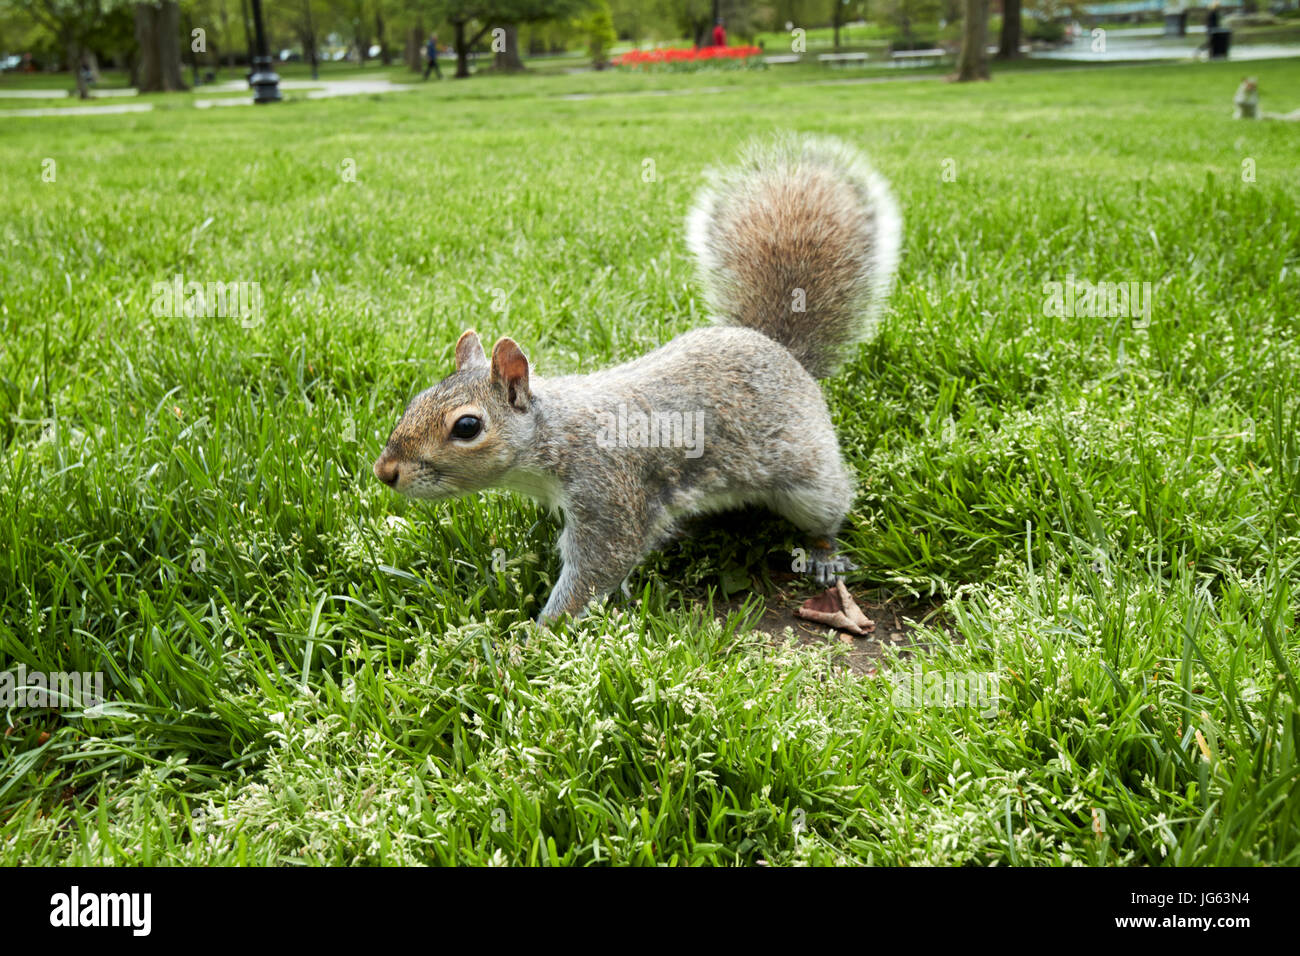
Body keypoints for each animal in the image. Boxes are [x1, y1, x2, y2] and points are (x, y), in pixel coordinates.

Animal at [377, 138, 904, 624]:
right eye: (416, 399)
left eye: (467, 427)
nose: (385, 472)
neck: (554, 435)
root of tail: (781, 351)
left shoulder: (607, 488)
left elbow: (598, 564)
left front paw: (534, 638)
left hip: (808, 477)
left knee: (825, 512)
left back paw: (822, 554)